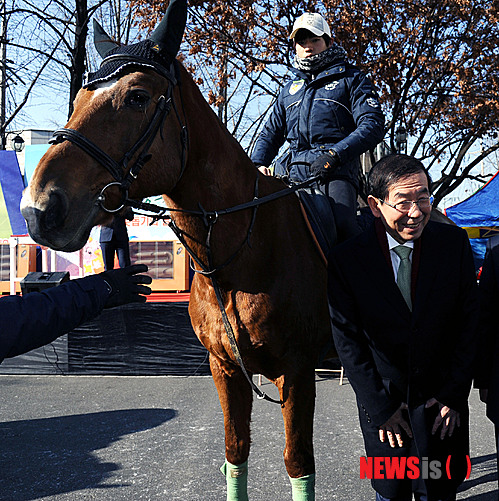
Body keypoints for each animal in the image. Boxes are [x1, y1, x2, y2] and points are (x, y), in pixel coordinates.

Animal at [20, 1, 332, 498]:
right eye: (79, 99)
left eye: (137, 97)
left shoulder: (299, 371)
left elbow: (299, 464)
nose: (38, 209)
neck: (241, 256)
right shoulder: (225, 368)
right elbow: (235, 455)